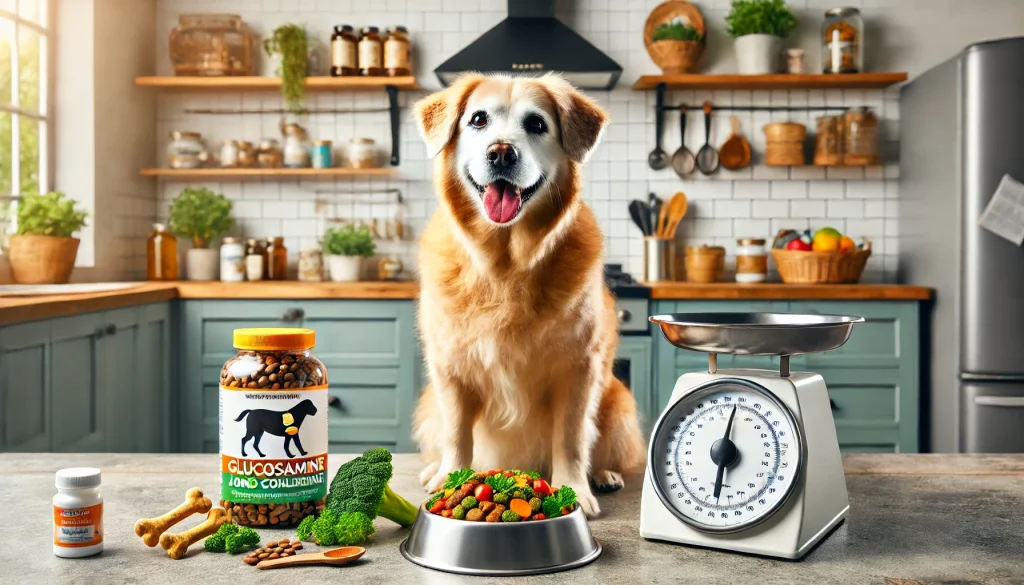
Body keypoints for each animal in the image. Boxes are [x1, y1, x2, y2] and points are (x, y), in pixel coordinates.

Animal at [411, 74, 643, 516]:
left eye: (536, 124)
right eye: (478, 119)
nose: (501, 153)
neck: (506, 266)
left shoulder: (579, 369)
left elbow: (570, 439)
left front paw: (575, 489)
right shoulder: (450, 369)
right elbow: (457, 435)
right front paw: (450, 479)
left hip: (618, 404)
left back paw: (603, 475)